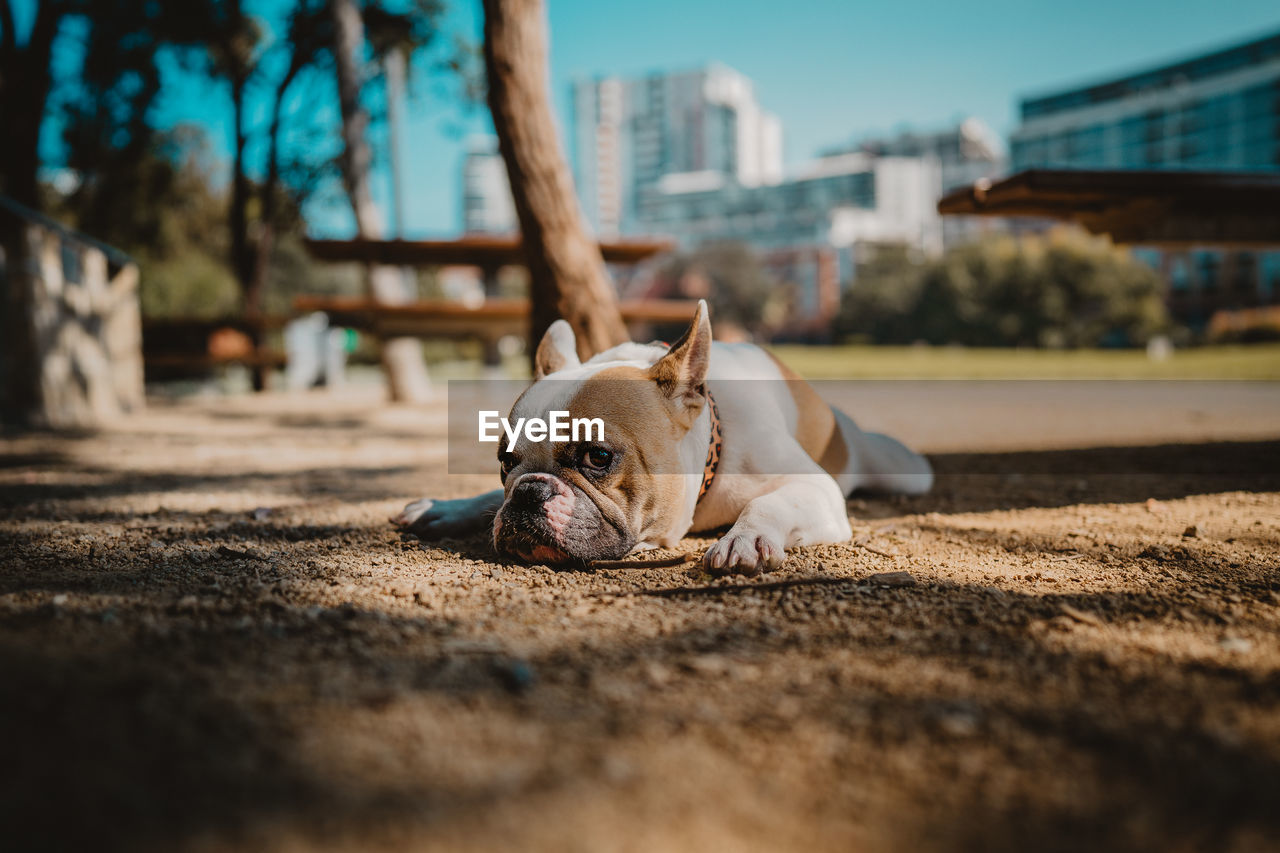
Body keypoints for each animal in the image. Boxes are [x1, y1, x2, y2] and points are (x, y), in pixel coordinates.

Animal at [391, 298, 931, 571]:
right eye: (505, 462)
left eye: (597, 457)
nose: (528, 493)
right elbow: (484, 499)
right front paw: (447, 507)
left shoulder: (816, 490)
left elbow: (769, 502)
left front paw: (748, 537)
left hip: (901, 470)